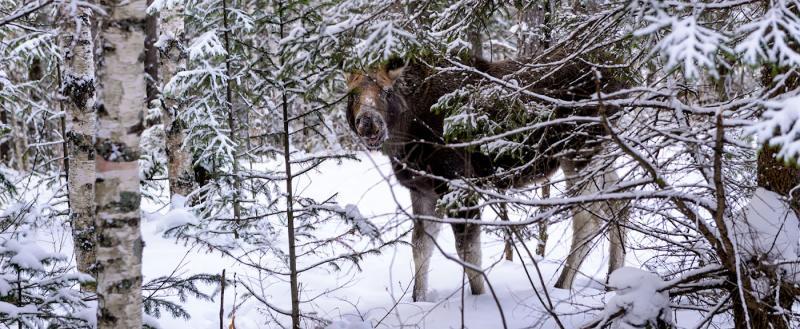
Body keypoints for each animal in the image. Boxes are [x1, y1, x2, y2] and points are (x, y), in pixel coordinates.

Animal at [346, 52, 628, 302]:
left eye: (387, 92)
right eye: (352, 95)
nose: (368, 122)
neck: (405, 136)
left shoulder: (458, 184)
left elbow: (468, 251)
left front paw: (480, 300)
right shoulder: (422, 189)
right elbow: (420, 246)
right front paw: (418, 300)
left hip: (579, 151)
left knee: (588, 217)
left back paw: (563, 285)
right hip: (601, 152)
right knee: (619, 199)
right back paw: (613, 280)